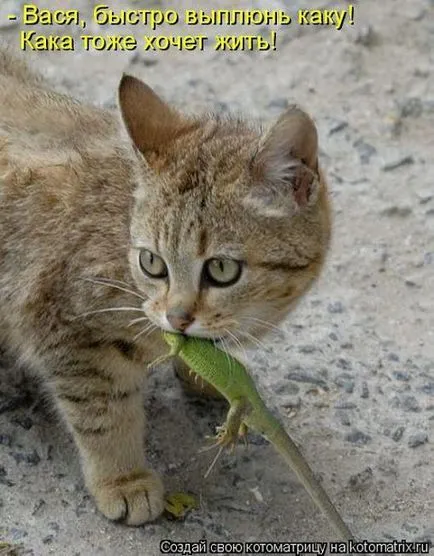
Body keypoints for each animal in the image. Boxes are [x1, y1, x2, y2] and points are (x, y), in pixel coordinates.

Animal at [0, 44, 330, 524]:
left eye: (222, 269)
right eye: (152, 262)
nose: (177, 316)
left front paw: (213, 374)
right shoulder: (63, 324)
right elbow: (103, 411)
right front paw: (123, 479)